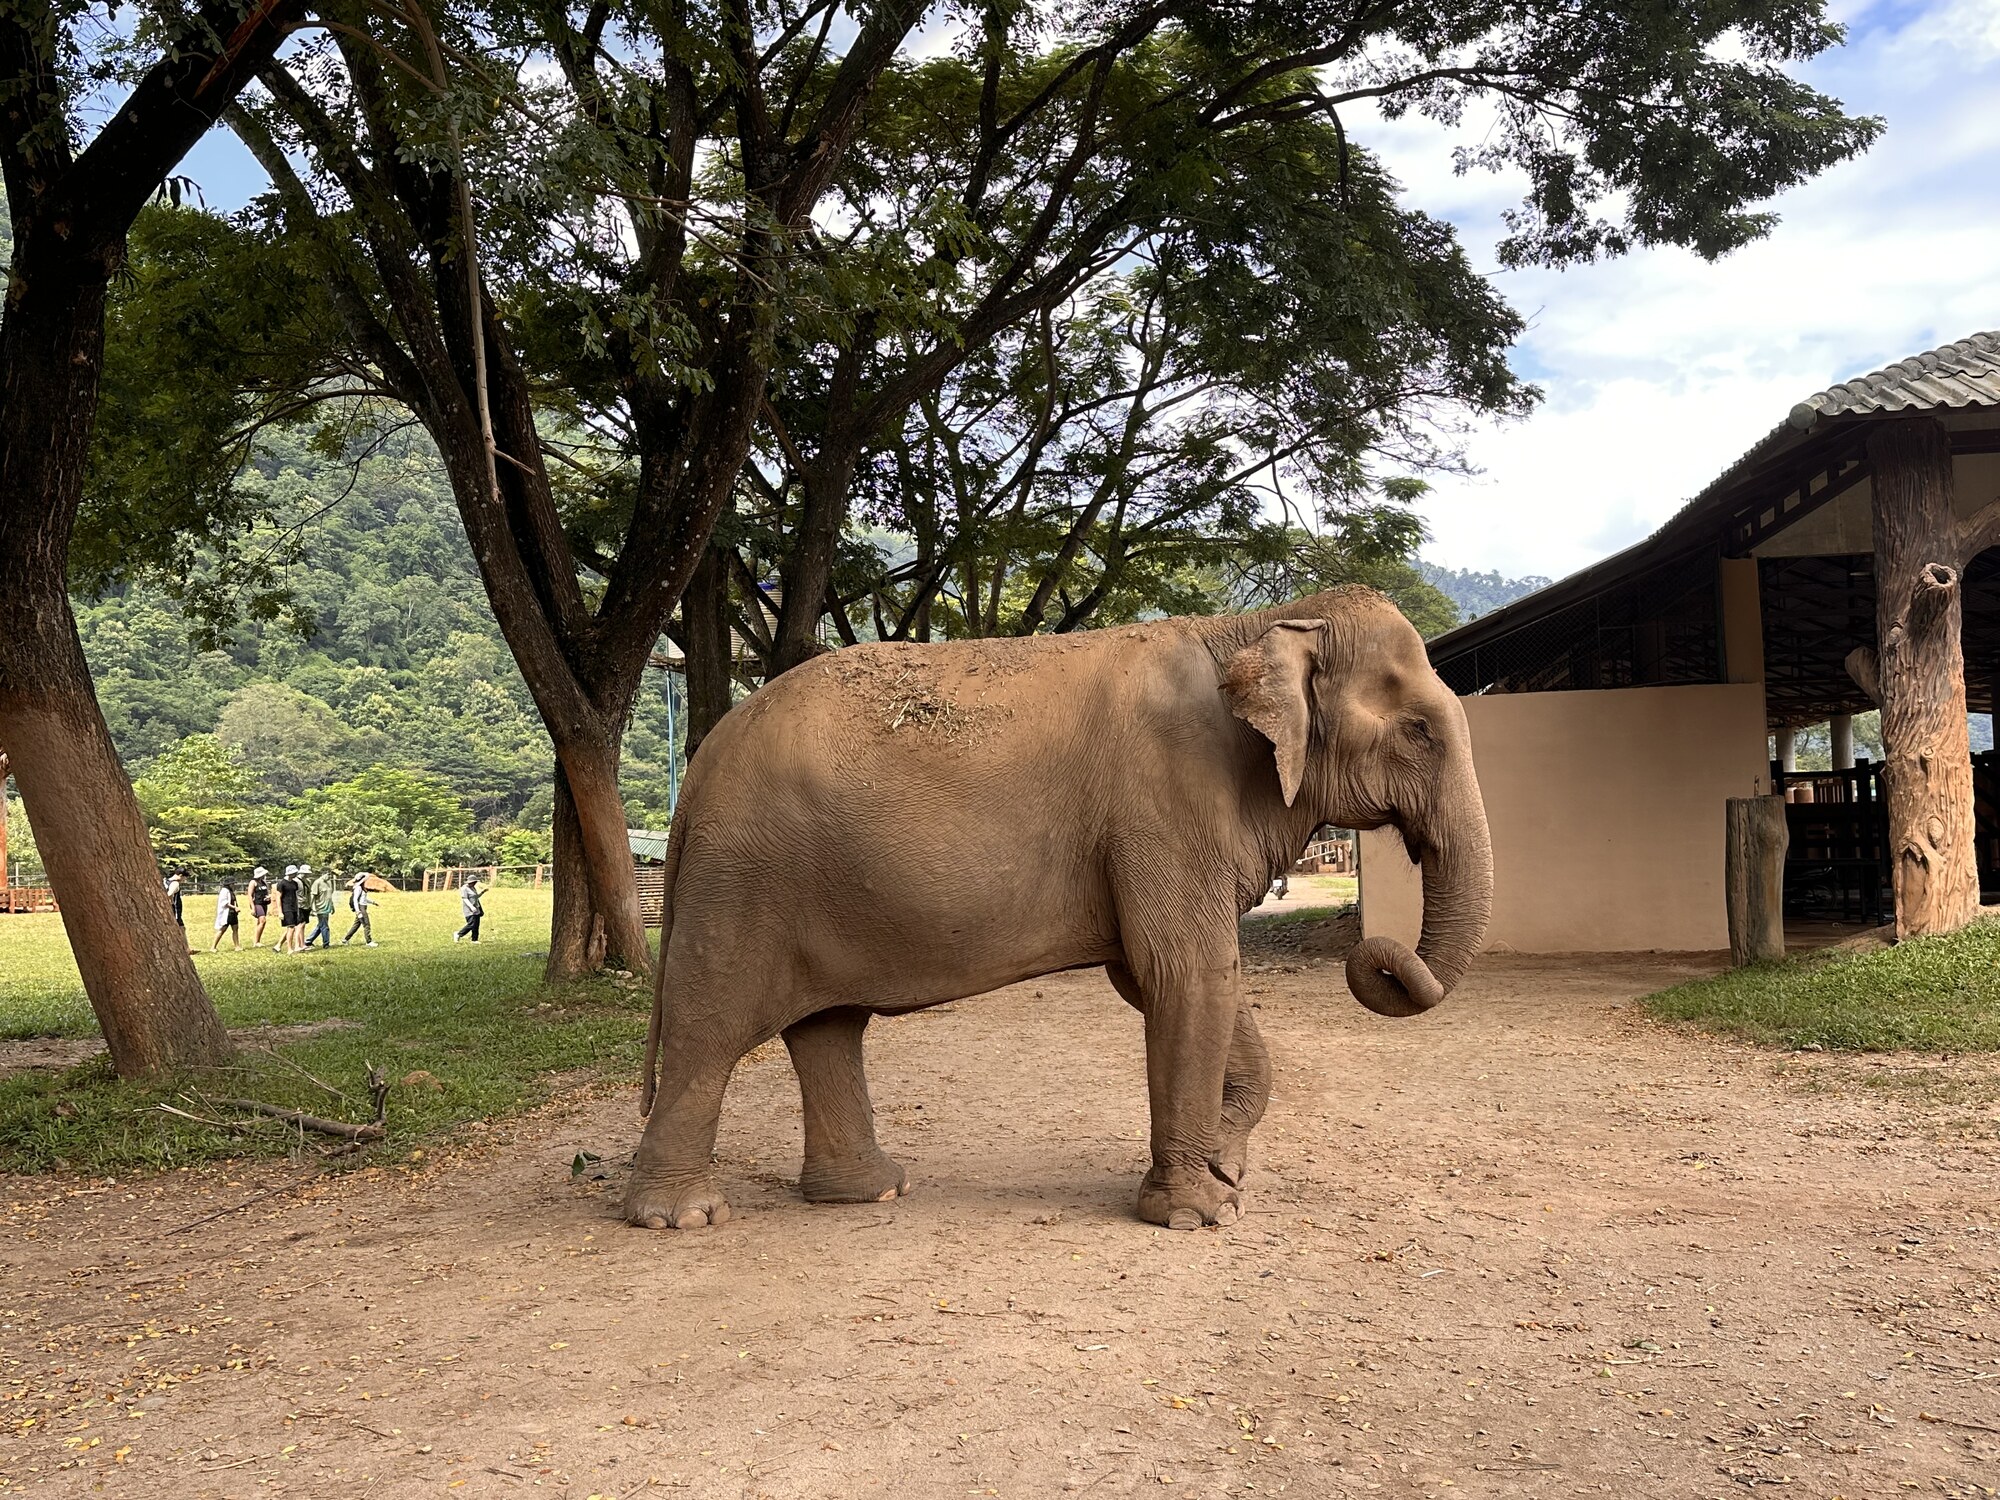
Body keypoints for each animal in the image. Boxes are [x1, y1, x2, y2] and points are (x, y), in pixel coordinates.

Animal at [627, 586, 1492, 1232]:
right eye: (1419, 730)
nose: (1377, 956)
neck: (1259, 625)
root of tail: (698, 768)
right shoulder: (1164, 804)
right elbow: (1182, 972)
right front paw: (1200, 1214)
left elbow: (1178, 977)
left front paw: (1227, 1168)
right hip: (742, 881)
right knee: (712, 1027)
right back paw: (682, 1216)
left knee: (828, 1029)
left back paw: (872, 1191)